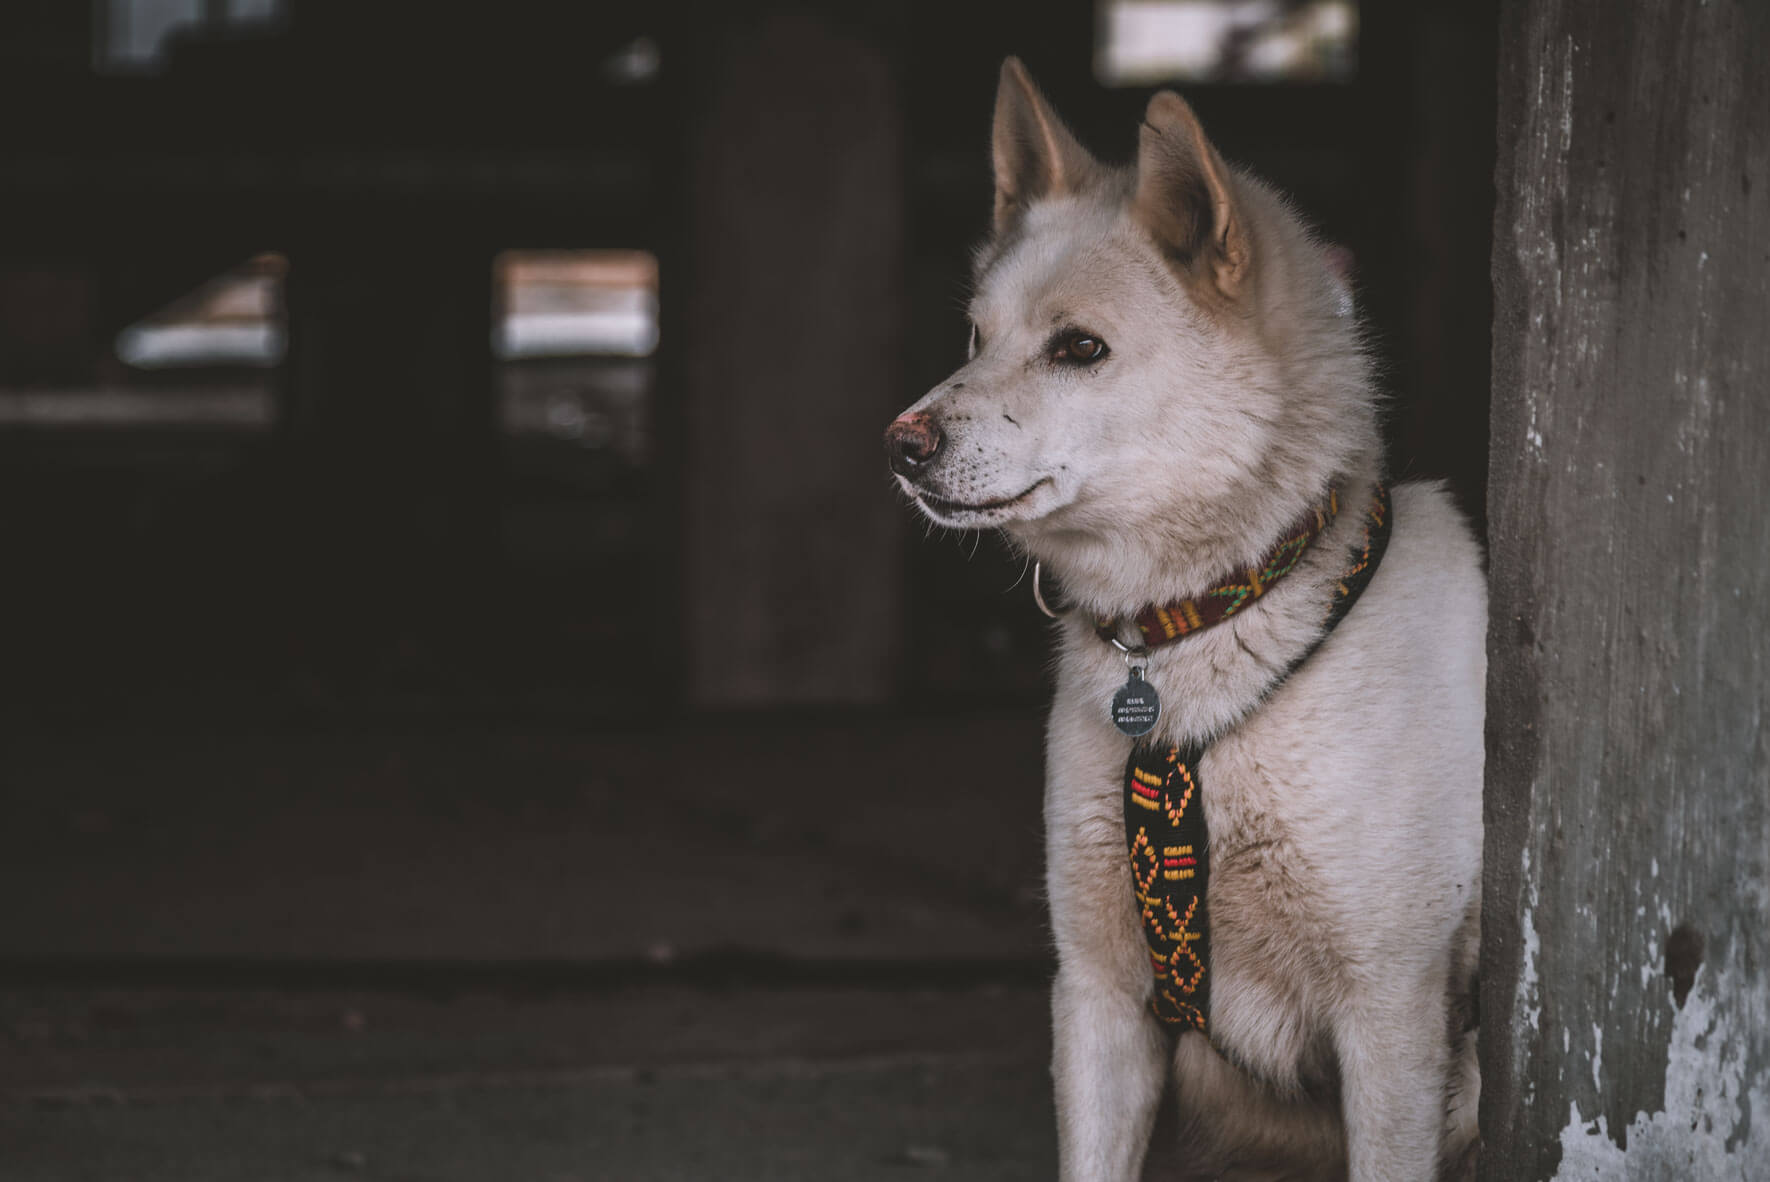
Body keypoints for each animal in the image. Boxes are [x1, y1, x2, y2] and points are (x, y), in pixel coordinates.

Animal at [881, 62, 1479, 1182]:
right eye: (977, 339)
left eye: (1079, 348)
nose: (900, 444)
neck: (1210, 624)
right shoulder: (1098, 997)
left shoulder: (1391, 1017)